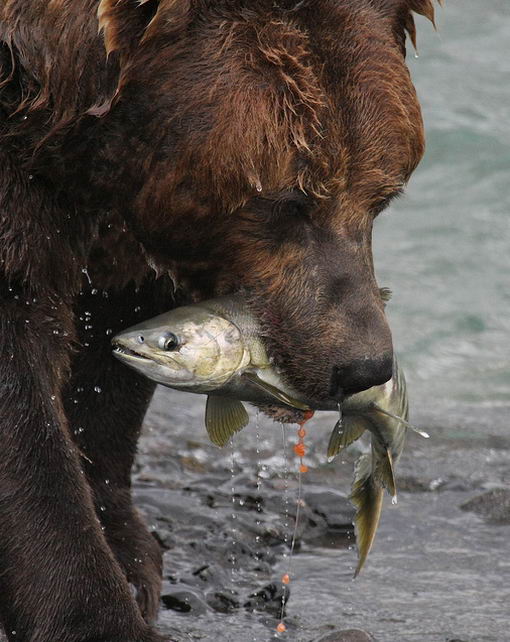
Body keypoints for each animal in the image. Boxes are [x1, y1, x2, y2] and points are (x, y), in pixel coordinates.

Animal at [0, 1, 438, 640]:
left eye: (384, 193)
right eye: (286, 201)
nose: (363, 365)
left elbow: (108, 363)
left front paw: (129, 549)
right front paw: (98, 610)